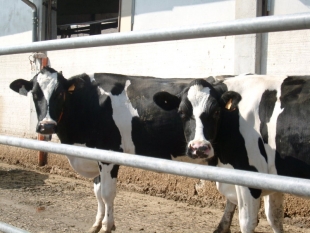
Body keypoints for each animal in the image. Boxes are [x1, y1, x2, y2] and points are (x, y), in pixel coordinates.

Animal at [9, 66, 194, 233]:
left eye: (60, 93)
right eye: (35, 94)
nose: (46, 126)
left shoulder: (108, 154)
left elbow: (107, 193)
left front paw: (107, 226)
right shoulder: (94, 155)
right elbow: (97, 192)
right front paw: (97, 224)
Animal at [155, 75, 310, 233]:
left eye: (216, 111)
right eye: (181, 113)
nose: (199, 148)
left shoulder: (250, 174)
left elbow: (247, 222)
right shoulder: (274, 178)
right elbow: (275, 218)